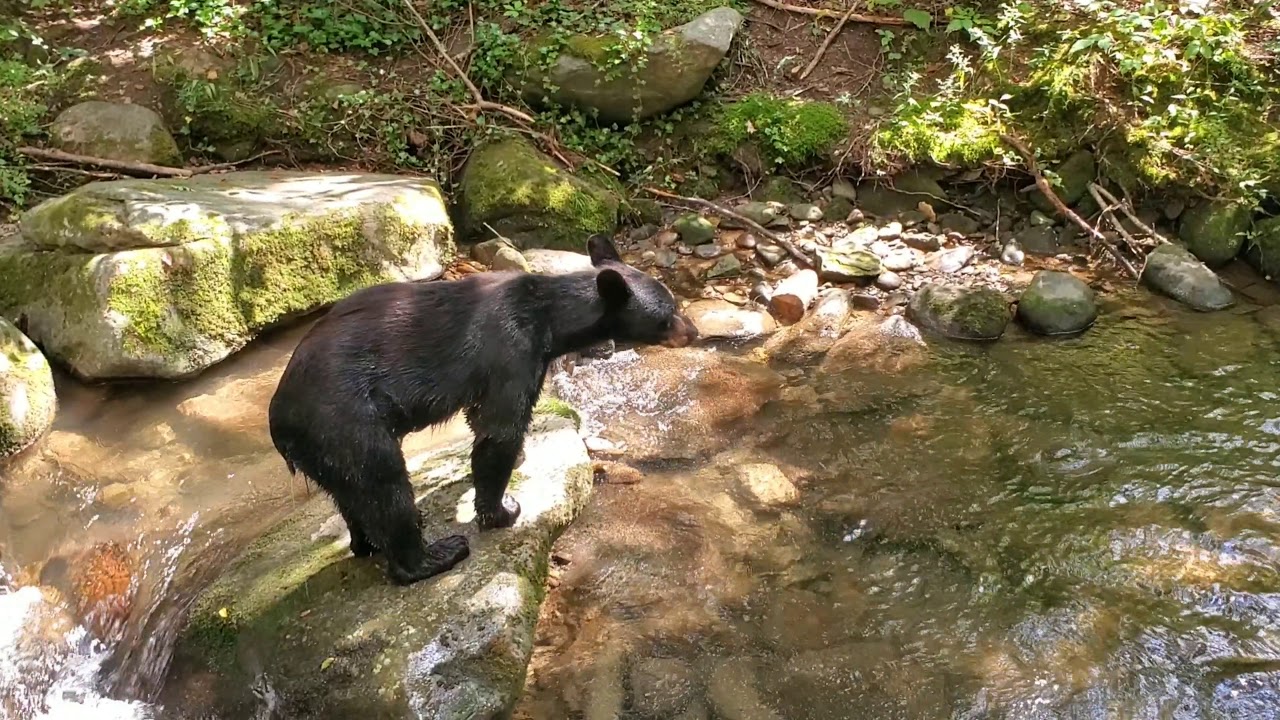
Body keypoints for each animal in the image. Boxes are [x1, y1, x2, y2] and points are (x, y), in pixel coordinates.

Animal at [267, 234, 698, 585]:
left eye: (674, 302)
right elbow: (500, 428)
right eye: (666, 315)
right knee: (384, 485)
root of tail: (279, 424)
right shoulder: (510, 352)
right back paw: (435, 553)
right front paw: (504, 509)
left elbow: (481, 420)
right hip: (347, 421)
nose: (693, 331)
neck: (549, 319)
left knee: (352, 495)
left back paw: (365, 542)